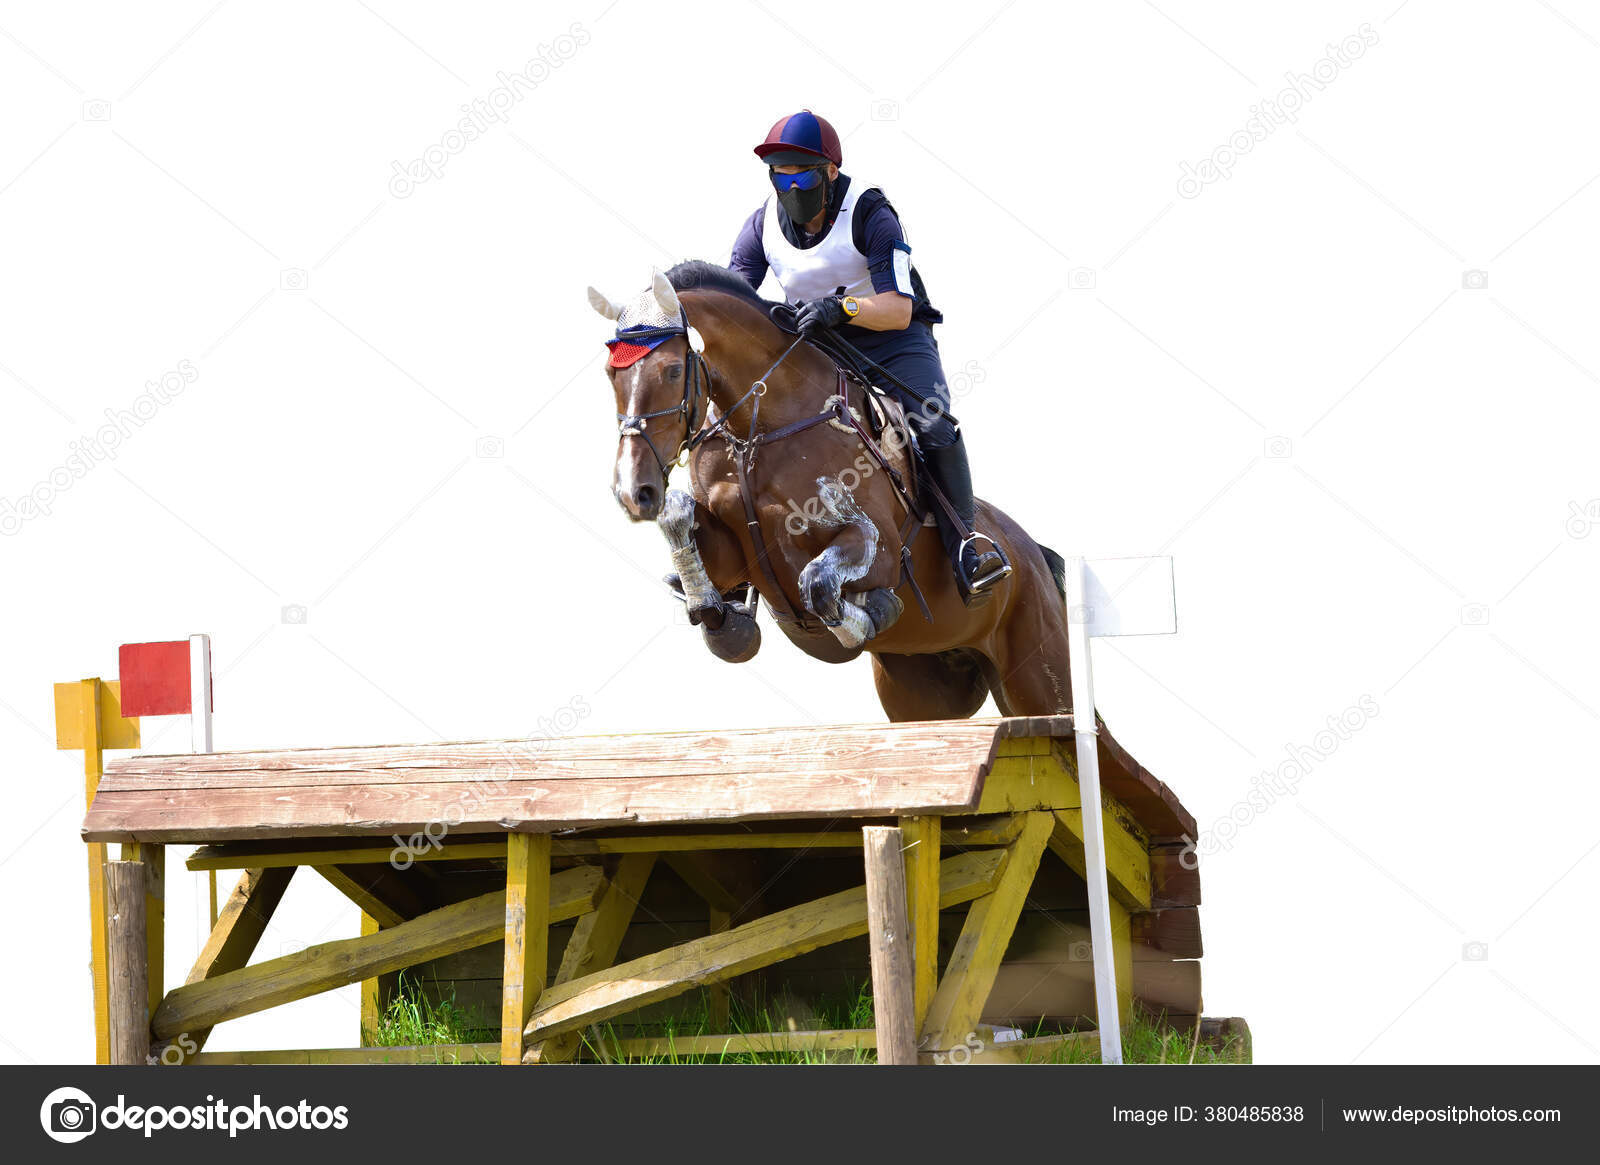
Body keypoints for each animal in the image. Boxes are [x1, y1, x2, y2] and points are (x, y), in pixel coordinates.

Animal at [588, 262, 1075, 720]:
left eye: (673, 370)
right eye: (611, 375)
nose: (634, 491)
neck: (760, 427)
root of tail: (1036, 553)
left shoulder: (878, 543)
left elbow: (820, 583)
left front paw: (869, 613)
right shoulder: (729, 552)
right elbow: (682, 526)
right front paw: (722, 619)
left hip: (1039, 677)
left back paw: (977, 563)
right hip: (923, 694)